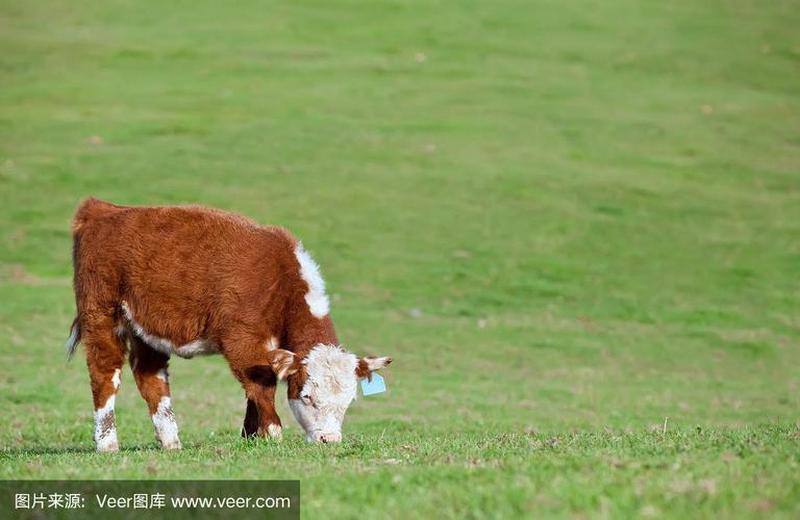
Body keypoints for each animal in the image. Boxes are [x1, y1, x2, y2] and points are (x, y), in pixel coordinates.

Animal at [67, 198, 392, 450]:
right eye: (306, 396)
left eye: (349, 401)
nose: (329, 439)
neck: (280, 281)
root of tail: (102, 210)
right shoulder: (242, 340)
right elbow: (261, 386)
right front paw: (272, 434)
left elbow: (254, 390)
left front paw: (251, 436)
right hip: (101, 314)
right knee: (104, 373)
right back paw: (108, 443)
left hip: (144, 327)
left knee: (150, 376)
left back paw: (171, 442)